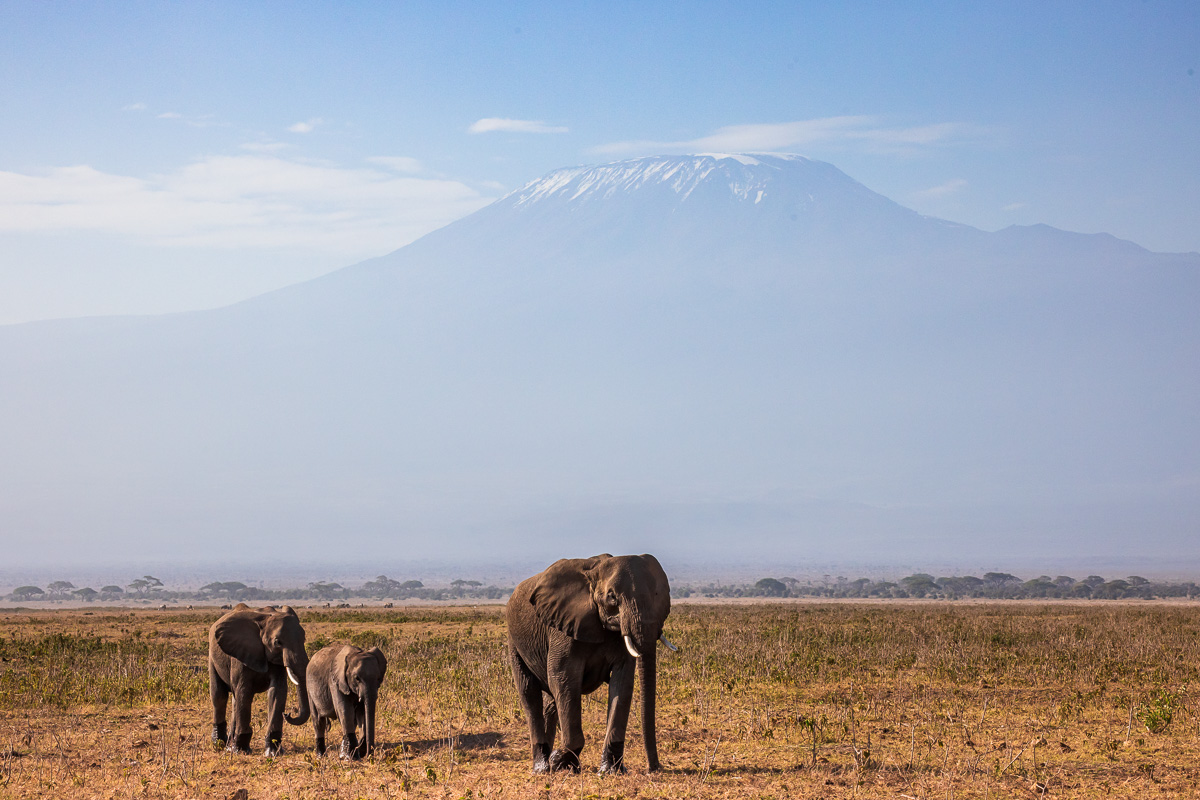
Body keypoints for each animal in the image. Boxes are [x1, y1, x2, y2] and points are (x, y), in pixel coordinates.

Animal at [211, 606, 314, 758]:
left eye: (304, 638)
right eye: (278, 642)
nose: (288, 714)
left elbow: (277, 692)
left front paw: (273, 752)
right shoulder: (240, 655)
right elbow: (244, 692)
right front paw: (241, 750)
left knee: (235, 701)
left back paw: (230, 746)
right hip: (212, 658)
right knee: (219, 696)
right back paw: (220, 743)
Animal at [504, 554, 676, 772]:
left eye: (656, 594)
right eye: (612, 597)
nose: (654, 767)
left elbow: (622, 683)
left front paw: (610, 770)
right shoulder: (563, 629)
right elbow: (564, 679)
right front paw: (558, 761)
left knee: (551, 700)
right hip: (514, 641)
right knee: (529, 693)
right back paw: (543, 767)